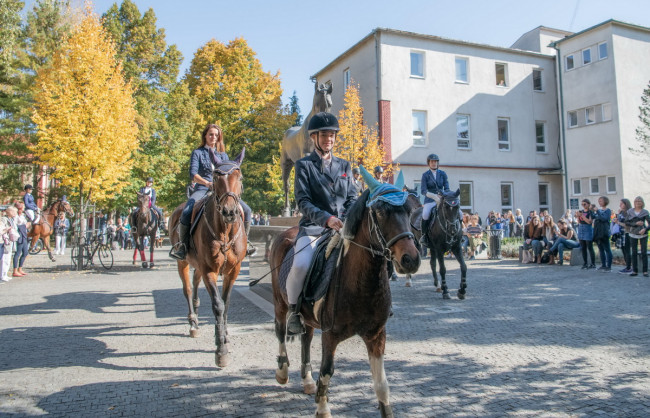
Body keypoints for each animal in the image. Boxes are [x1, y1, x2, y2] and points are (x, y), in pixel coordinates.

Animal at [167, 149, 246, 368]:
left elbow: (226, 304)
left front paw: (225, 336)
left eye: (240, 178)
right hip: (183, 262)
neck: (225, 231)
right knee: (187, 288)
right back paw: (193, 323)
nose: (229, 212)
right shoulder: (209, 270)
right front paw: (221, 350)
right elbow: (218, 305)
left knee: (195, 285)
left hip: (198, 265)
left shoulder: (233, 270)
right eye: (216, 178)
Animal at [270, 167, 418, 418]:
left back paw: (307, 380)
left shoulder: (376, 335)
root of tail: (286, 232)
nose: (411, 259)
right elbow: (327, 371)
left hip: (308, 317)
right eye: (380, 212)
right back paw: (282, 372)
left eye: (408, 210)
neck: (362, 285)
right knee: (281, 331)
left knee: (306, 339)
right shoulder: (330, 335)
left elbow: (381, 384)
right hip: (280, 303)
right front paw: (322, 408)